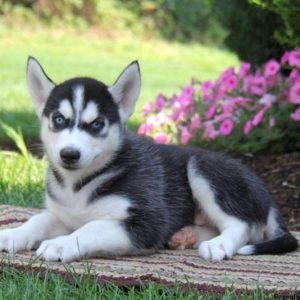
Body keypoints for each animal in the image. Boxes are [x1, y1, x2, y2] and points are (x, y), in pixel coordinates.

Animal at [0, 56, 296, 262]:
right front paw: (13, 234)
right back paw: (186, 235)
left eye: (97, 124)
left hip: (202, 168)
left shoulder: (147, 222)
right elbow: (39, 221)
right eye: (59, 119)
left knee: (244, 225)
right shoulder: (64, 214)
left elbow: (92, 228)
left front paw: (61, 244)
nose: (69, 154)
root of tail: (268, 197)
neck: (79, 185)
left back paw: (218, 245)